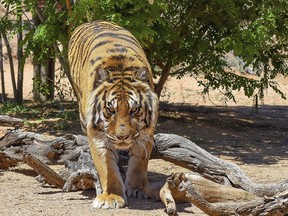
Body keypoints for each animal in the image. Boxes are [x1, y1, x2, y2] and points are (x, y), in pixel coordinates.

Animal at [68, 21, 159, 208]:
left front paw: (138, 189)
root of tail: (93, 21)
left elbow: (139, 162)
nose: (122, 137)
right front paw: (111, 196)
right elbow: (106, 167)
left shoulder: (146, 132)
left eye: (134, 110)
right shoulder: (97, 134)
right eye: (111, 110)